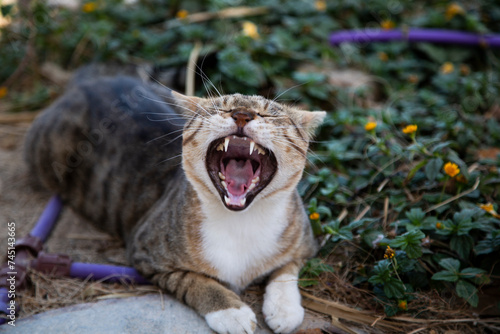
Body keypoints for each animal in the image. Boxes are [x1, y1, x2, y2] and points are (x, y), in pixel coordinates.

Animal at [25, 66, 326, 334]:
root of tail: (91, 80)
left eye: (268, 114)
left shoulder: (305, 241)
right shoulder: (147, 253)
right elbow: (194, 280)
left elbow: (286, 269)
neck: (241, 220)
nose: (242, 114)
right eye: (221, 109)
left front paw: (285, 309)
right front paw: (230, 311)